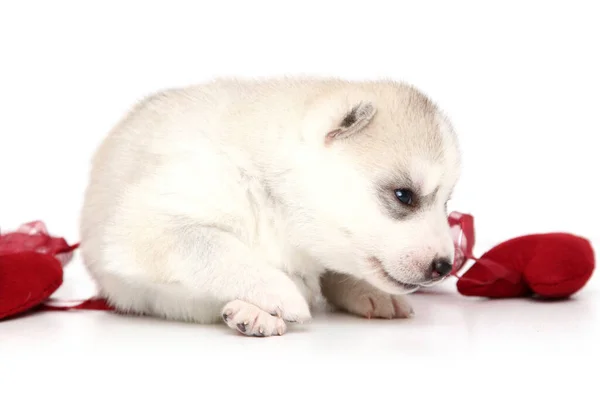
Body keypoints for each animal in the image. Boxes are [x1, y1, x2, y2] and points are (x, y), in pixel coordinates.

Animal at [79, 76, 462, 336]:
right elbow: (215, 247)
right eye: (404, 195)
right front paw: (280, 293)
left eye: (446, 203)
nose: (445, 266)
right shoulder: (145, 226)